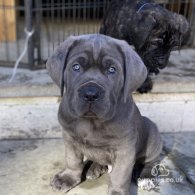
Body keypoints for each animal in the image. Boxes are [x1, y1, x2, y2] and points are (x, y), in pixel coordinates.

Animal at [46, 34, 162, 195]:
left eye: (112, 70)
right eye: (76, 67)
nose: (90, 93)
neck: (91, 121)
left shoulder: (125, 149)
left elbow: (120, 174)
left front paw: (117, 192)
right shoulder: (69, 138)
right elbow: (72, 160)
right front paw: (67, 178)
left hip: (152, 135)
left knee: (151, 161)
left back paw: (146, 176)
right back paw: (94, 167)